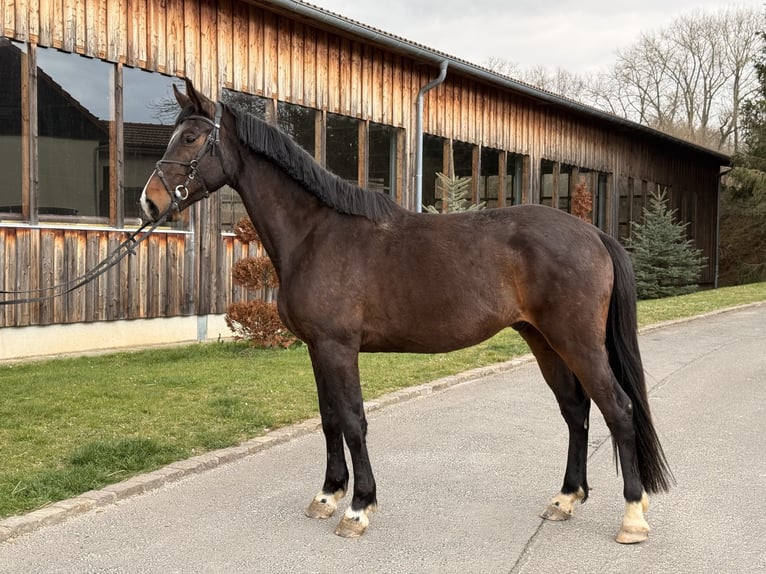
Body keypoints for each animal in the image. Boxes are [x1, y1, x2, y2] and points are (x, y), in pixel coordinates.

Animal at [140, 80, 673, 543]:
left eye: (191, 137)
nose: (150, 202)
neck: (316, 233)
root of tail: (594, 233)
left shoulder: (338, 348)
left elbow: (353, 420)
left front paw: (358, 508)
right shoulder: (317, 349)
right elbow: (329, 418)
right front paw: (327, 495)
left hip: (577, 341)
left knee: (618, 409)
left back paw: (632, 517)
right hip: (542, 340)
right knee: (576, 410)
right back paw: (565, 498)